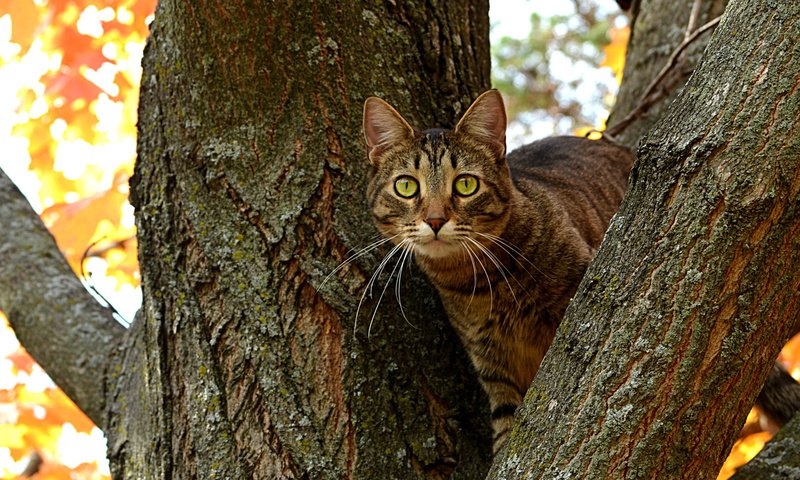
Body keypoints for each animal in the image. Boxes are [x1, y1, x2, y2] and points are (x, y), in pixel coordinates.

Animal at [360, 89, 636, 450]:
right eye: (406, 186)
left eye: (465, 185)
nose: (435, 220)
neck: (483, 281)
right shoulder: (494, 366)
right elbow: (507, 427)